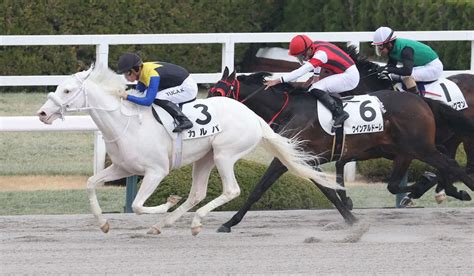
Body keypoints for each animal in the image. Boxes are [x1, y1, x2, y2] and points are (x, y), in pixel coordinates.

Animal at [38, 65, 340, 235]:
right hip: (205, 158)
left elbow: (137, 205)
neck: (126, 124)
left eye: (67, 91)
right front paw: (103, 223)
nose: (42, 113)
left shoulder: (156, 171)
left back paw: (196, 222)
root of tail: (254, 118)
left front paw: (167, 202)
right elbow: (91, 183)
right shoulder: (122, 167)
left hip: (224, 154)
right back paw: (163, 225)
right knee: (197, 193)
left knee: (231, 190)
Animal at [210, 67, 474, 233]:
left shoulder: (291, 158)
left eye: (218, 92)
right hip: (406, 148)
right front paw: (350, 216)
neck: (289, 110)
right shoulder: (305, 159)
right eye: (211, 92)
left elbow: (258, 189)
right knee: (423, 173)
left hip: (420, 146)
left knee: (453, 165)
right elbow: (327, 189)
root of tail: (420, 100)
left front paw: (229, 222)